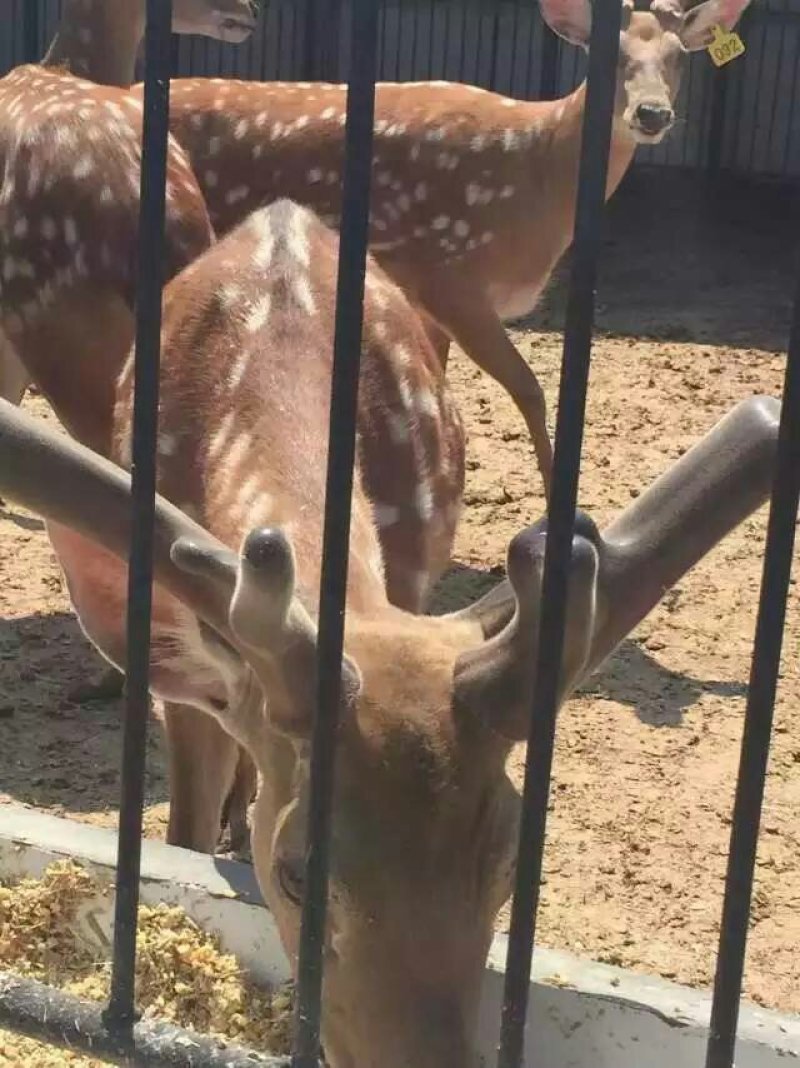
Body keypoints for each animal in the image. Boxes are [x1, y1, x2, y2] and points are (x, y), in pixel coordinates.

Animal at [142, 0, 747, 504]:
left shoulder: (429, 296)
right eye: (609, 57)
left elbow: (436, 389)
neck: (536, 181)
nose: (651, 114)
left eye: (679, 57)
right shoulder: (451, 272)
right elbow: (528, 389)